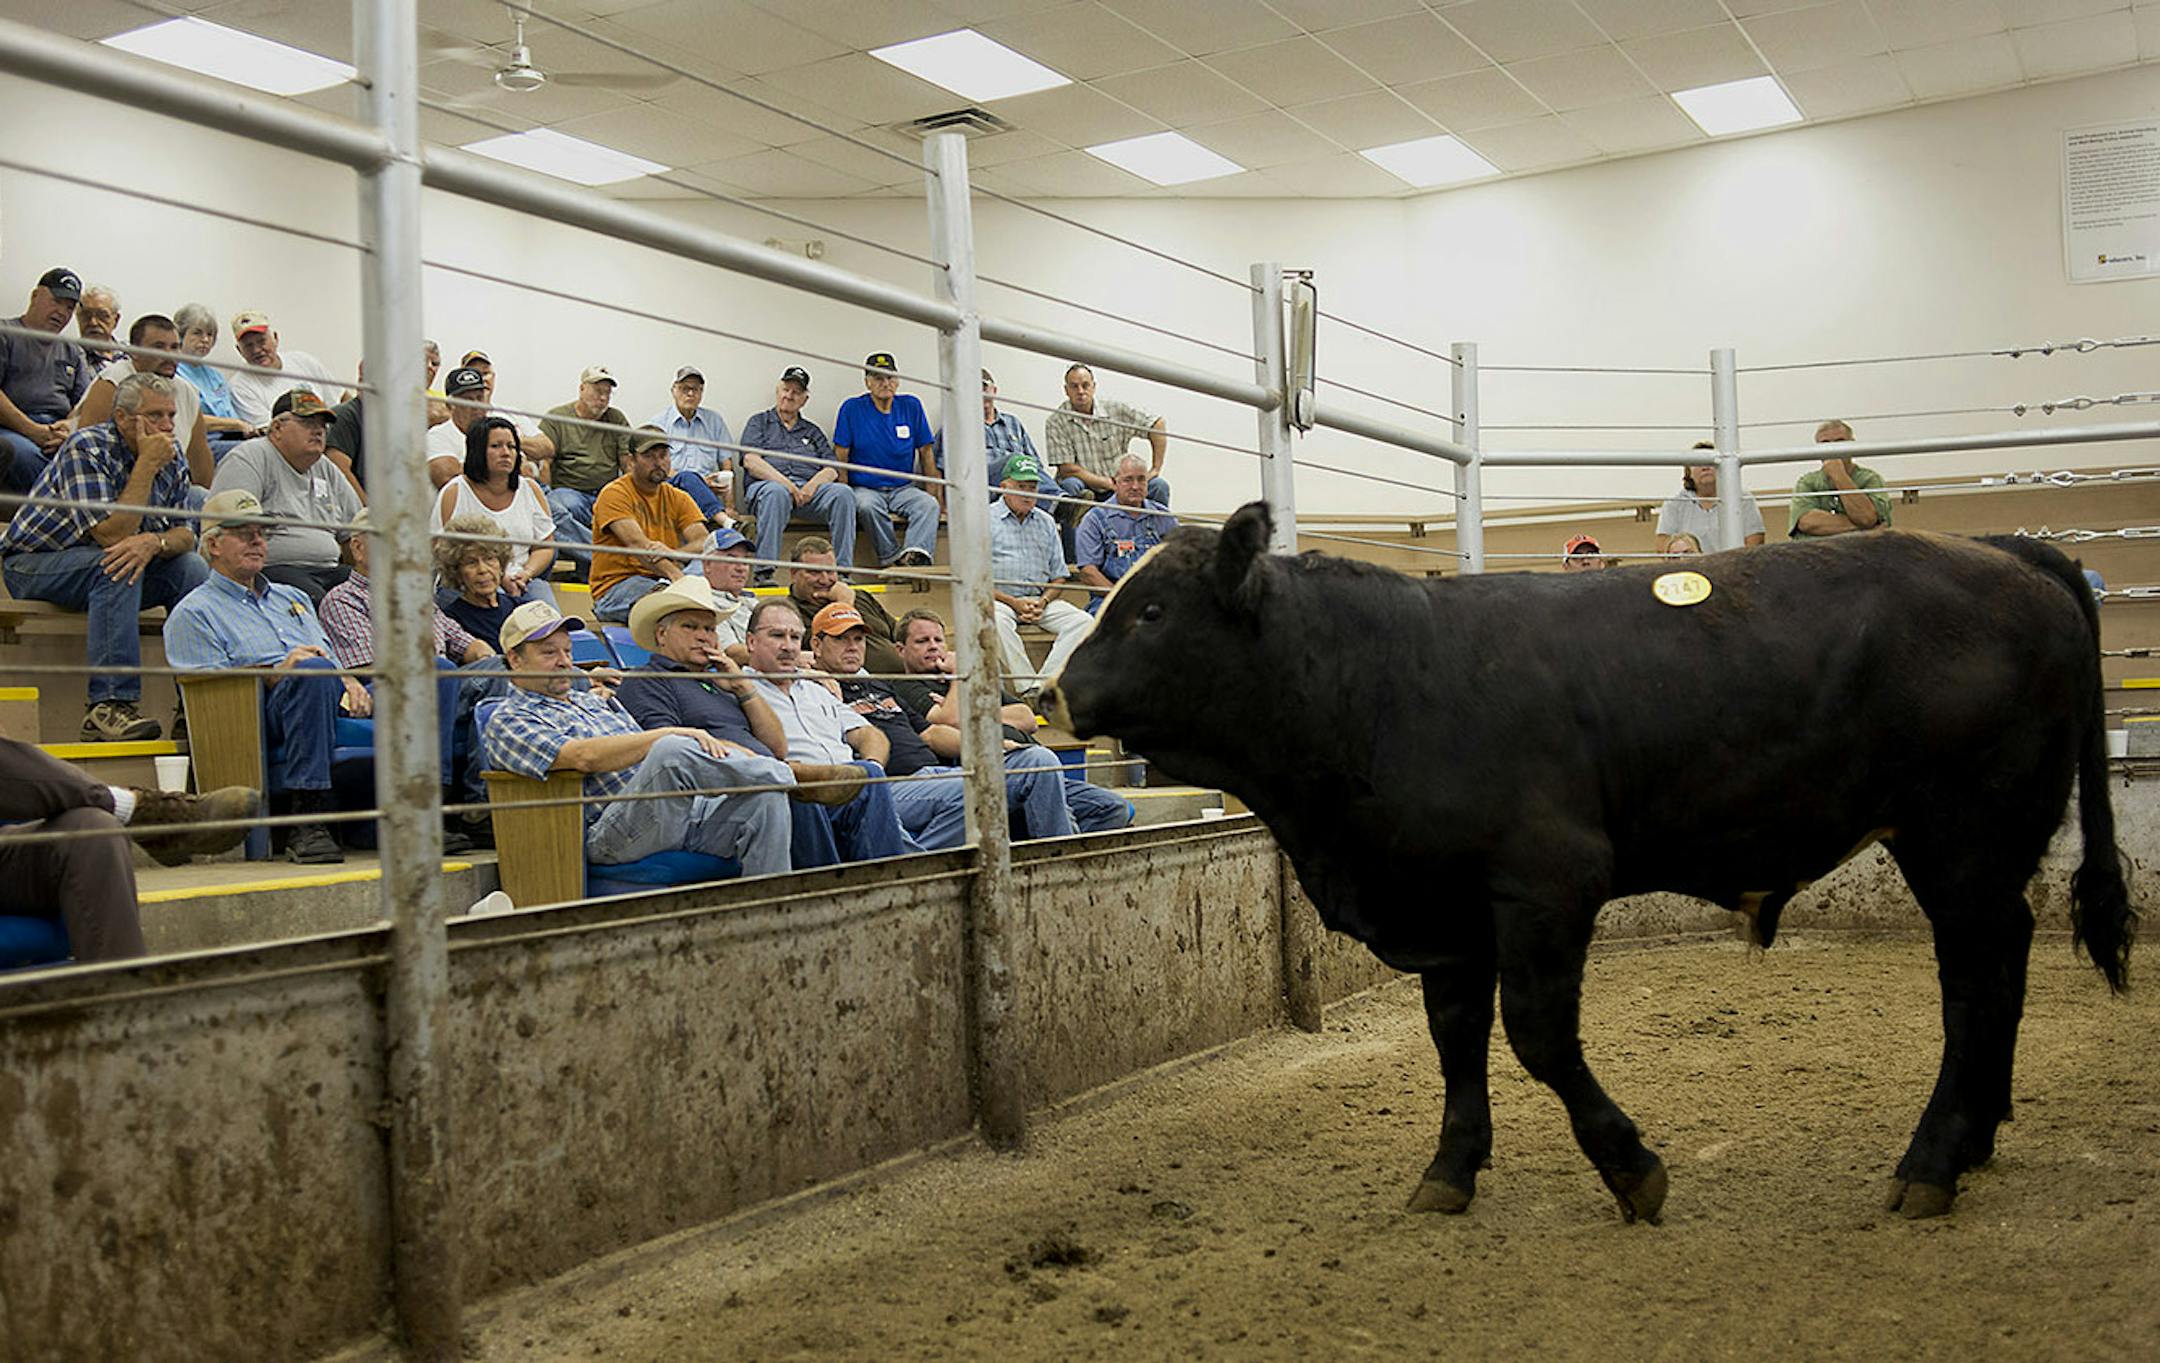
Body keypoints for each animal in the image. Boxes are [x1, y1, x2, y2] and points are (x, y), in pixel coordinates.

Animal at [1042, 502, 2135, 1224]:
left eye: (1152, 612)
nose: (1052, 694)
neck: (1381, 679)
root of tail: (2005, 550)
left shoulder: (1547, 884)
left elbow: (1536, 1036)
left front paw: (1631, 1166)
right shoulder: (1445, 910)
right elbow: (1456, 1041)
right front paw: (1450, 1169)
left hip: (1961, 836)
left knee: (1977, 979)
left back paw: (1934, 1158)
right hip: (1974, 850)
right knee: (2001, 964)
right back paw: (1975, 1138)